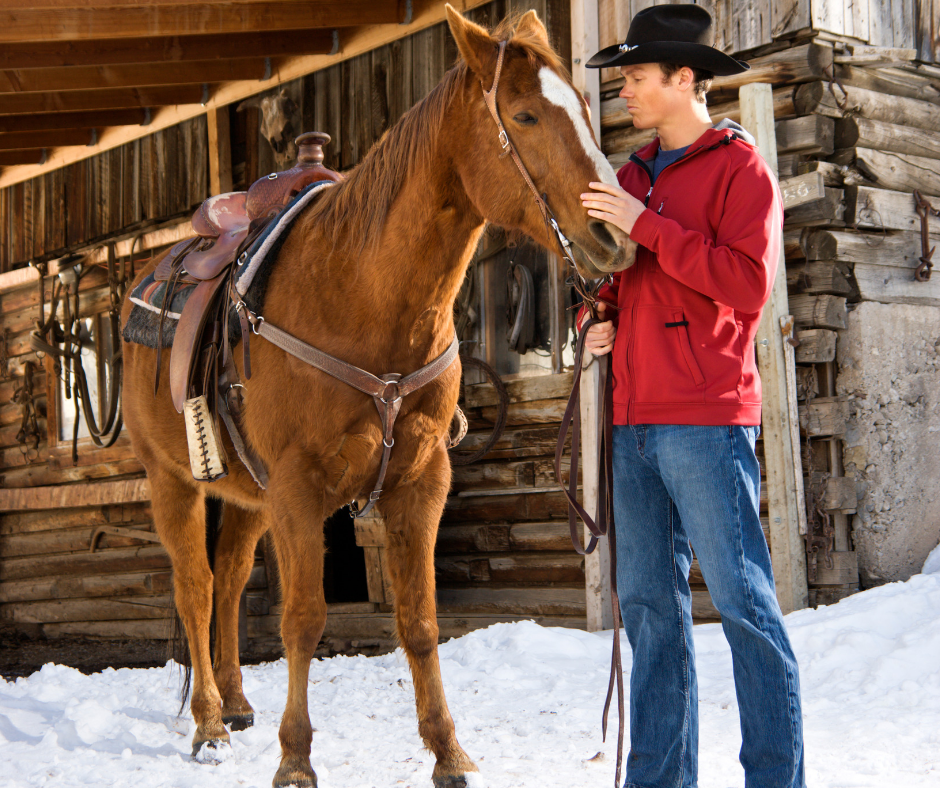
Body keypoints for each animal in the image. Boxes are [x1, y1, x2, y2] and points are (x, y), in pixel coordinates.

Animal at [120, 6, 636, 787]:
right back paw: (209, 723)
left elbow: (420, 624)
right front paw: (296, 760)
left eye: (581, 104)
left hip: (247, 495)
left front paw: (449, 753)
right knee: (198, 585)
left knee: (233, 578)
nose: (615, 233)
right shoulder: (299, 490)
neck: (360, 293)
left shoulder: (420, 481)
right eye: (523, 115)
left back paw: (236, 704)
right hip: (172, 480)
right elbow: (302, 619)